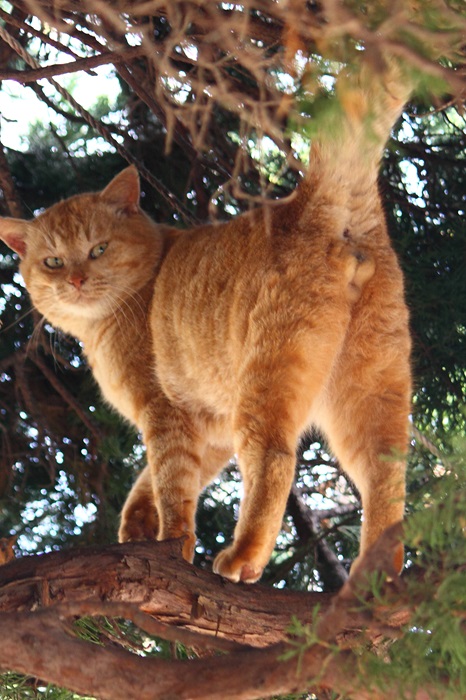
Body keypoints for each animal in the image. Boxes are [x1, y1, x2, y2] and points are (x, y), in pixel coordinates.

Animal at [0, 63, 416, 584]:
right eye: (53, 262)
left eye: (99, 249)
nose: (76, 280)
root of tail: (309, 197)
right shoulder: (207, 429)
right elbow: (161, 478)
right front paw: (139, 524)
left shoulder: (164, 412)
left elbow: (172, 483)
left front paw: (171, 544)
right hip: (367, 389)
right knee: (388, 474)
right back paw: (376, 573)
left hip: (266, 381)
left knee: (275, 460)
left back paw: (243, 555)